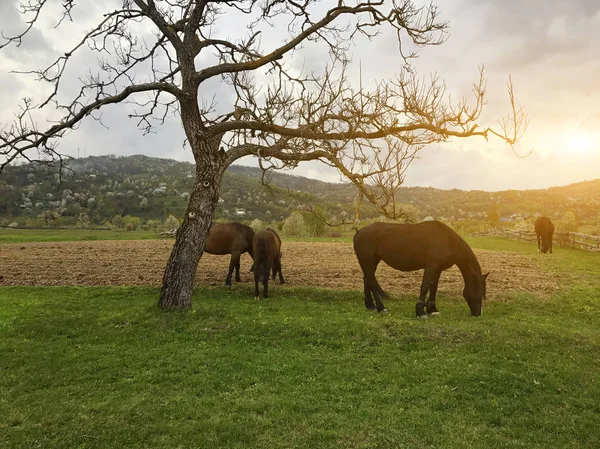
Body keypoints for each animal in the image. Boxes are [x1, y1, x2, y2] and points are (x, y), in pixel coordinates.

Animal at [354, 220, 490, 316]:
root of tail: (359, 232)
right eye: (480, 292)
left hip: (372, 262)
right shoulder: (431, 266)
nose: (478, 313)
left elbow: (434, 287)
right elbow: (425, 286)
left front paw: (432, 309)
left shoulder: (438, 268)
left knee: (367, 279)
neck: (448, 240)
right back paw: (381, 307)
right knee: (371, 281)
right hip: (368, 261)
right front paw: (420, 311)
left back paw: (370, 305)